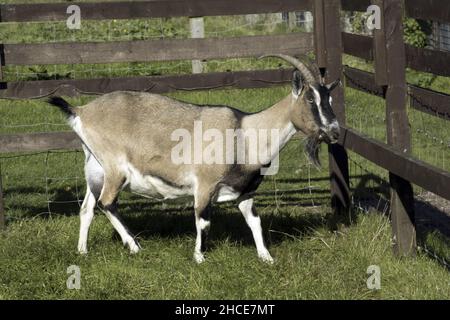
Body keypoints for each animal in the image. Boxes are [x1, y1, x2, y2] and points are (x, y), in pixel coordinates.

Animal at [47, 55, 340, 264]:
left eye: (329, 98)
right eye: (310, 99)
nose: (335, 131)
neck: (244, 132)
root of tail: (81, 111)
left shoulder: (245, 192)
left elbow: (254, 221)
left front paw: (266, 258)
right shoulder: (205, 185)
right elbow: (203, 220)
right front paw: (199, 258)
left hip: (95, 170)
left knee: (87, 208)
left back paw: (83, 252)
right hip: (115, 168)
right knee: (107, 202)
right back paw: (135, 246)